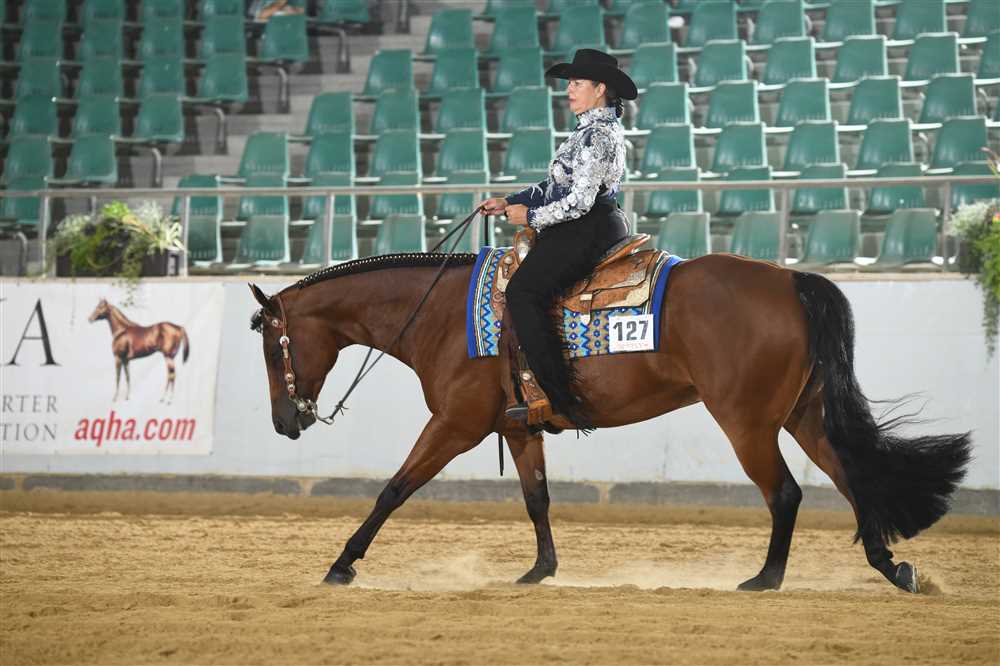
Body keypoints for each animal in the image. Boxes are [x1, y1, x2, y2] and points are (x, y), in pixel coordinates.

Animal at [249, 250, 970, 594]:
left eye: (271, 348)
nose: (285, 423)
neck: (444, 313)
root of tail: (791, 279)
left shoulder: (454, 426)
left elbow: (393, 489)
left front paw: (342, 565)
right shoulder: (517, 429)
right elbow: (536, 498)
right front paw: (540, 570)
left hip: (747, 423)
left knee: (786, 494)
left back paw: (765, 579)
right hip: (804, 414)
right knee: (853, 478)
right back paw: (893, 568)